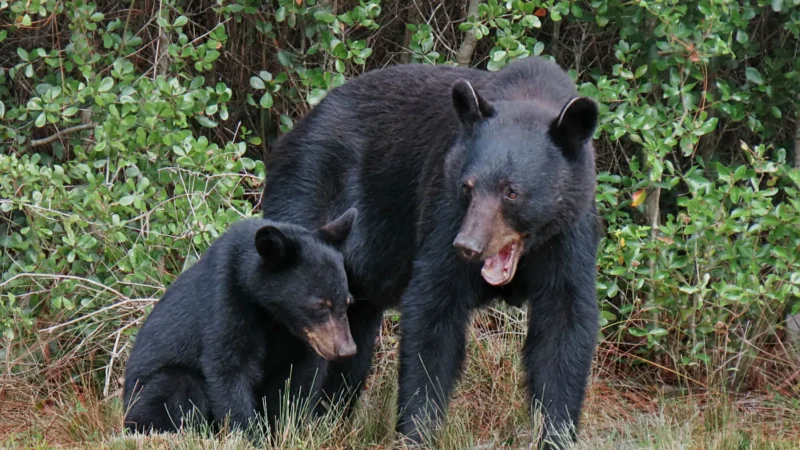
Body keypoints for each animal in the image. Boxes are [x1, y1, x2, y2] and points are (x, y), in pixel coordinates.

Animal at [122, 208, 358, 436]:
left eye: (347, 301)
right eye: (319, 306)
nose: (346, 350)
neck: (273, 315)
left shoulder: (302, 338)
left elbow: (299, 381)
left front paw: (290, 430)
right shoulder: (226, 298)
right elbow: (228, 366)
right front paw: (250, 436)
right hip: (144, 394)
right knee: (177, 385)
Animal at [259, 56, 600, 449]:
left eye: (512, 192)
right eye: (468, 187)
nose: (468, 246)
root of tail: (290, 134)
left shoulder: (569, 236)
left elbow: (564, 326)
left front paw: (556, 433)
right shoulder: (445, 208)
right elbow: (433, 309)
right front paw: (417, 433)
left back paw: (326, 419)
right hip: (308, 194)